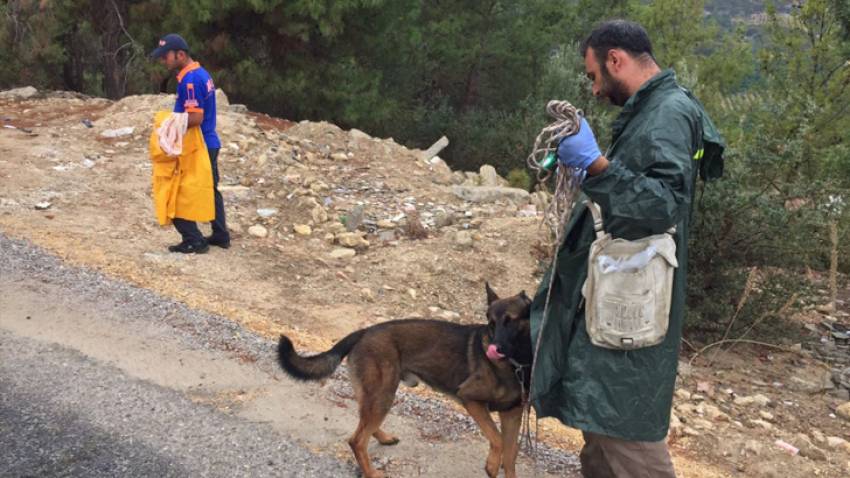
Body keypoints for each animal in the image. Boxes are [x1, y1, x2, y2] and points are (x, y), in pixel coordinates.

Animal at [276, 284, 528, 478]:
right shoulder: (471, 400)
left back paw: (383, 437)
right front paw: (492, 465)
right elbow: (497, 439)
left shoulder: (513, 414)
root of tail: (364, 331)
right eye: (491, 323)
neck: (515, 363)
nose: (494, 348)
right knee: (357, 440)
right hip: (384, 394)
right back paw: (372, 473)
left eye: (510, 321)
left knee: (364, 424)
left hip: (374, 393)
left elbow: (511, 453)